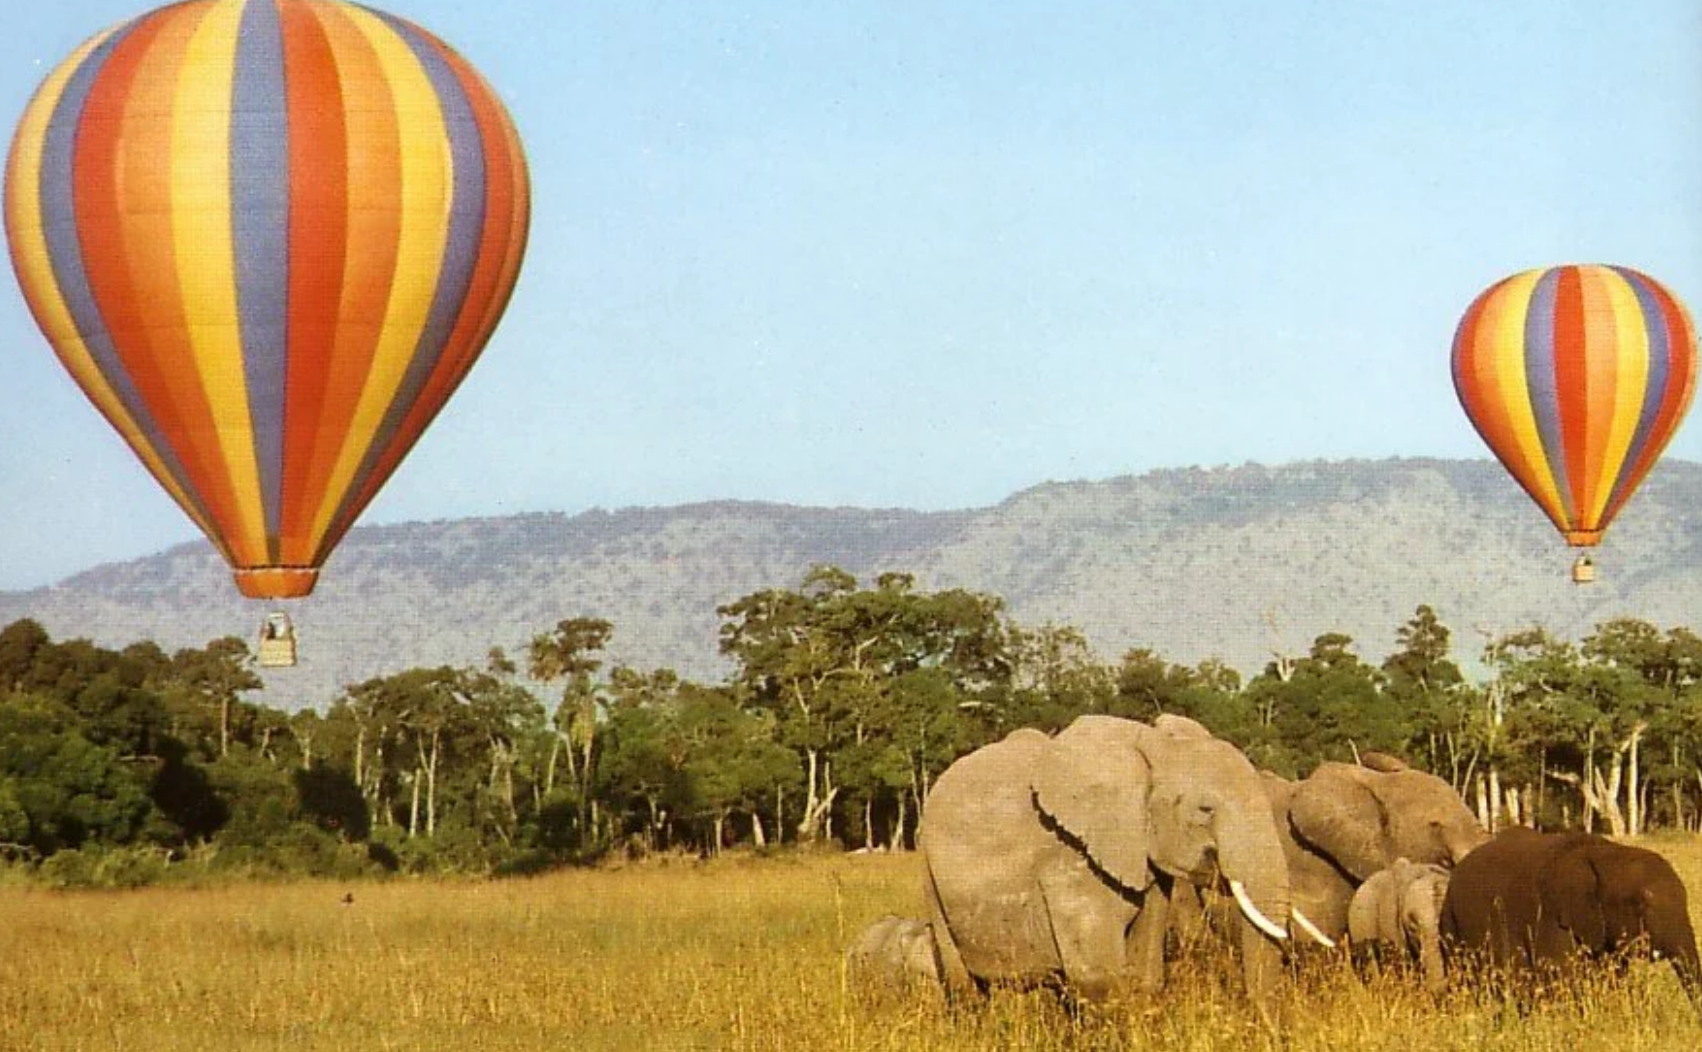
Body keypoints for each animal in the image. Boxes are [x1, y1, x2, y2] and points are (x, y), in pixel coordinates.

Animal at [920, 713, 1312, 1011]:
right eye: (1205, 810)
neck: (1154, 748)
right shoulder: (1068, 856)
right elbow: (1099, 978)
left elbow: (1145, 971)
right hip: (932, 880)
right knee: (965, 989)